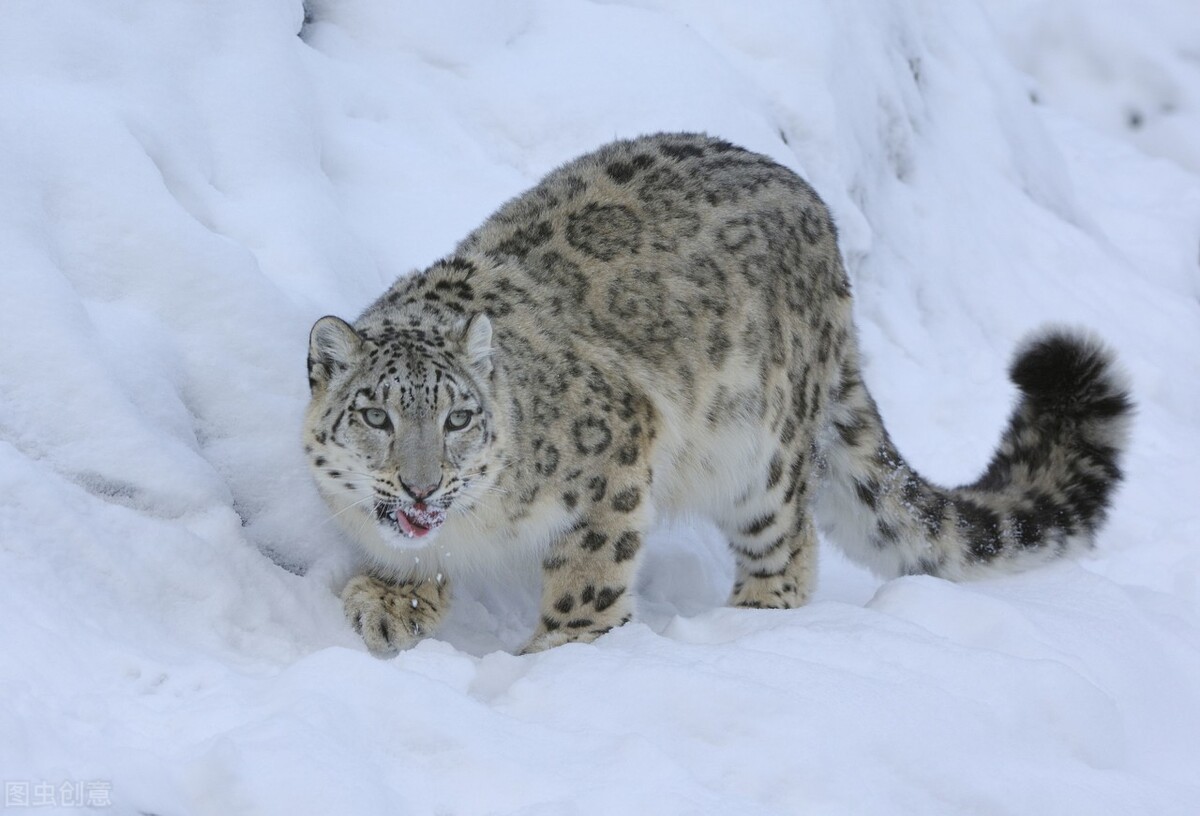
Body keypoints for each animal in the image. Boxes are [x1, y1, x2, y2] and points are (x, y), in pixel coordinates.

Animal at [304, 133, 1128, 657]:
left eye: (459, 417)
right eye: (377, 415)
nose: (422, 484)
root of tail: (823, 223)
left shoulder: (617, 448)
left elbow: (590, 575)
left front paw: (558, 656)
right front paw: (390, 604)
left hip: (762, 455)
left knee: (791, 543)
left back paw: (749, 627)